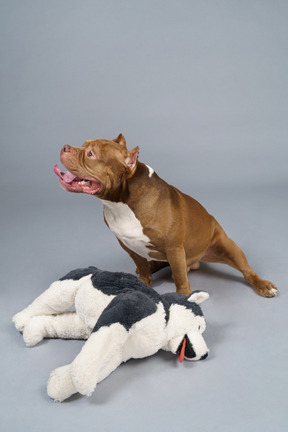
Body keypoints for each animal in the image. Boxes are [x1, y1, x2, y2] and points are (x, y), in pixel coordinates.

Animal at [54, 135, 276, 296]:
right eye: (83, 144)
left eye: (91, 154)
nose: (64, 147)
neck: (120, 203)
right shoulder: (127, 243)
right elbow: (141, 264)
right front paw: (144, 280)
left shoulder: (174, 247)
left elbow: (179, 276)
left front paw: (183, 297)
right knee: (156, 262)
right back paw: (153, 265)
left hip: (227, 246)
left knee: (247, 271)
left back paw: (263, 285)